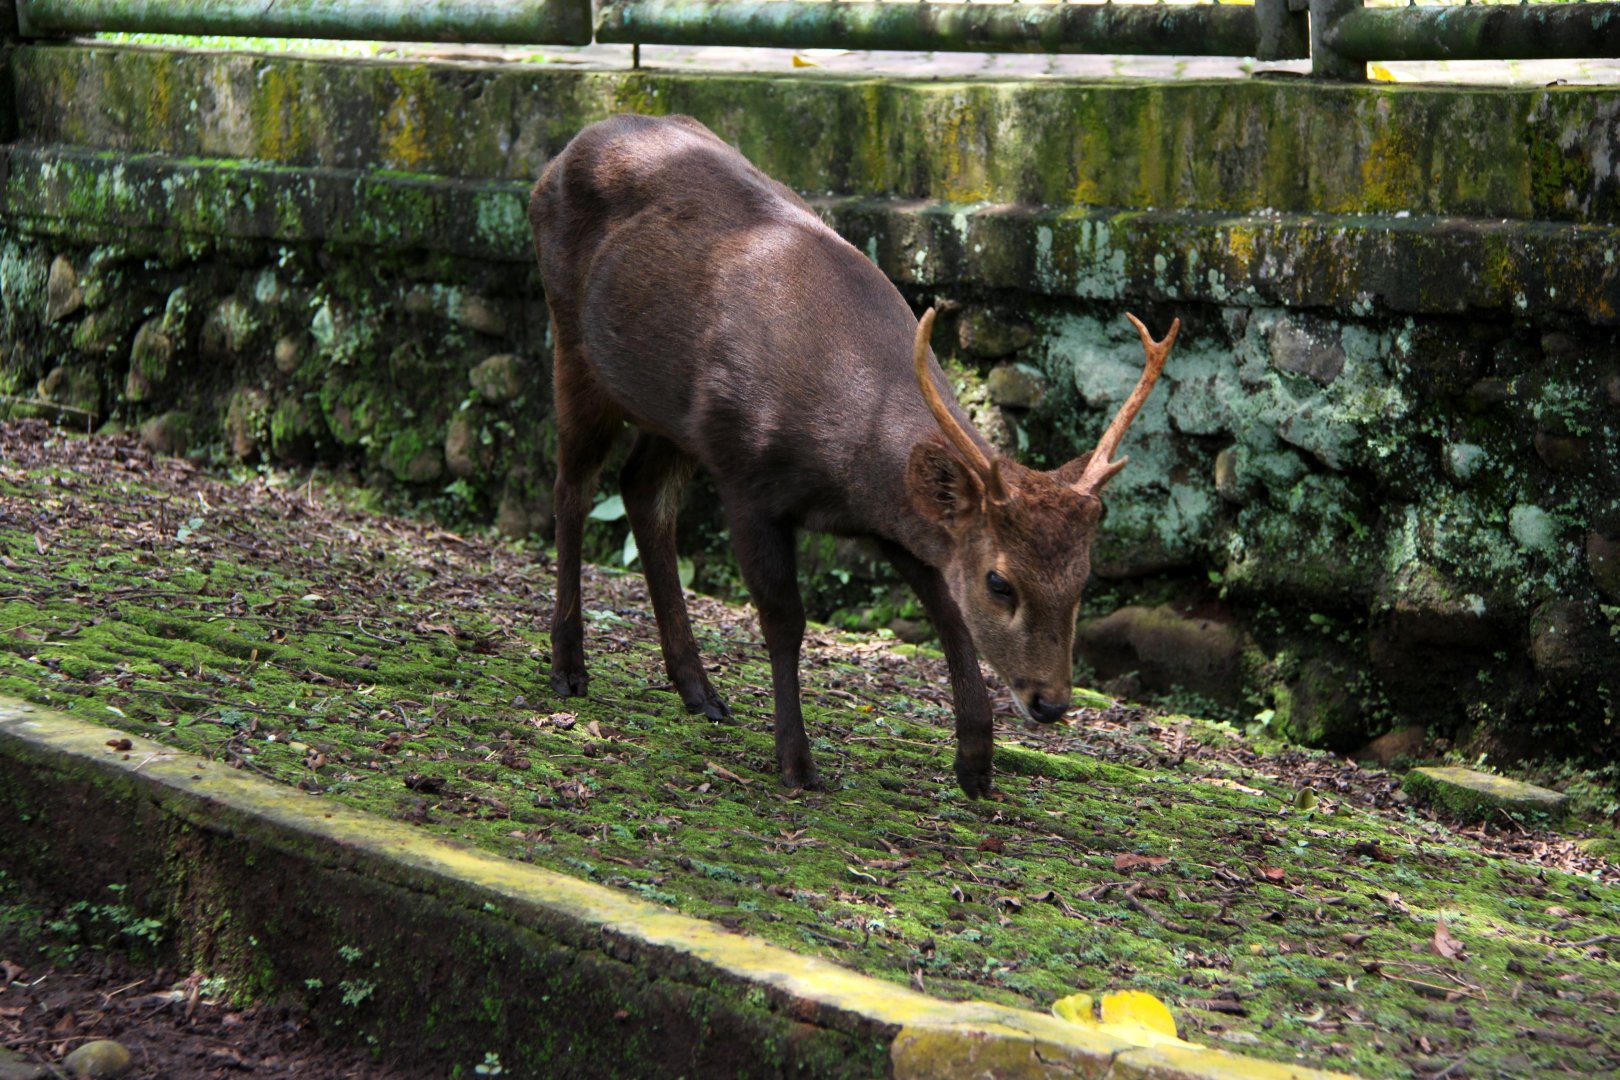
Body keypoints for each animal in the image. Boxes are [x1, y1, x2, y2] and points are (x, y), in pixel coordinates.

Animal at [529, 114, 1177, 797]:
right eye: (1000, 581)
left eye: (1085, 578)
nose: (1050, 702)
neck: (842, 458)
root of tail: (565, 152)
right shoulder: (745, 474)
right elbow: (785, 619)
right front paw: (796, 761)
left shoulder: (893, 517)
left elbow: (947, 613)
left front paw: (975, 763)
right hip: (573, 339)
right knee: (573, 486)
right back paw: (569, 667)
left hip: (670, 414)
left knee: (641, 491)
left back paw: (699, 691)